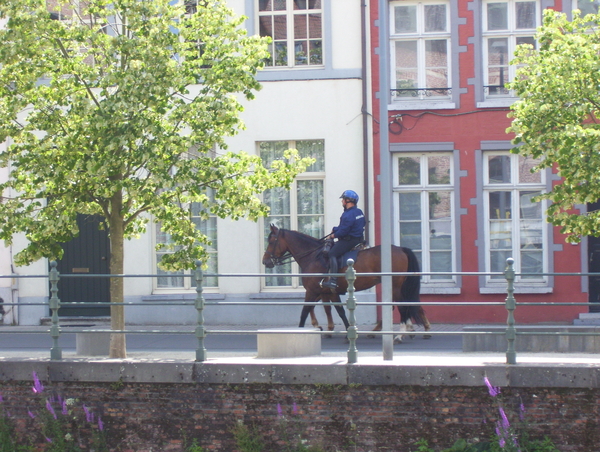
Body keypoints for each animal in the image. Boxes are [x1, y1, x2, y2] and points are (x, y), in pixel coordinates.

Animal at [260, 224, 428, 340]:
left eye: (272, 241)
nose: (265, 261)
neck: (313, 256)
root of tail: (400, 249)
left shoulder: (313, 291)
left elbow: (305, 312)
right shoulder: (329, 292)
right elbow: (337, 311)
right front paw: (347, 332)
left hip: (396, 286)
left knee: (401, 306)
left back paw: (400, 334)